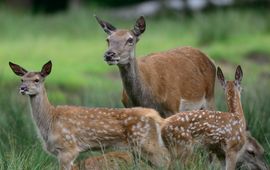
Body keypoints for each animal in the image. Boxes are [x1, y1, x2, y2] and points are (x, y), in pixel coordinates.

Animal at [10, 61, 171, 170]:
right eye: (22, 79)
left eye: (37, 80)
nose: (23, 88)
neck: (50, 122)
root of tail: (158, 118)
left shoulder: (68, 148)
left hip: (147, 143)